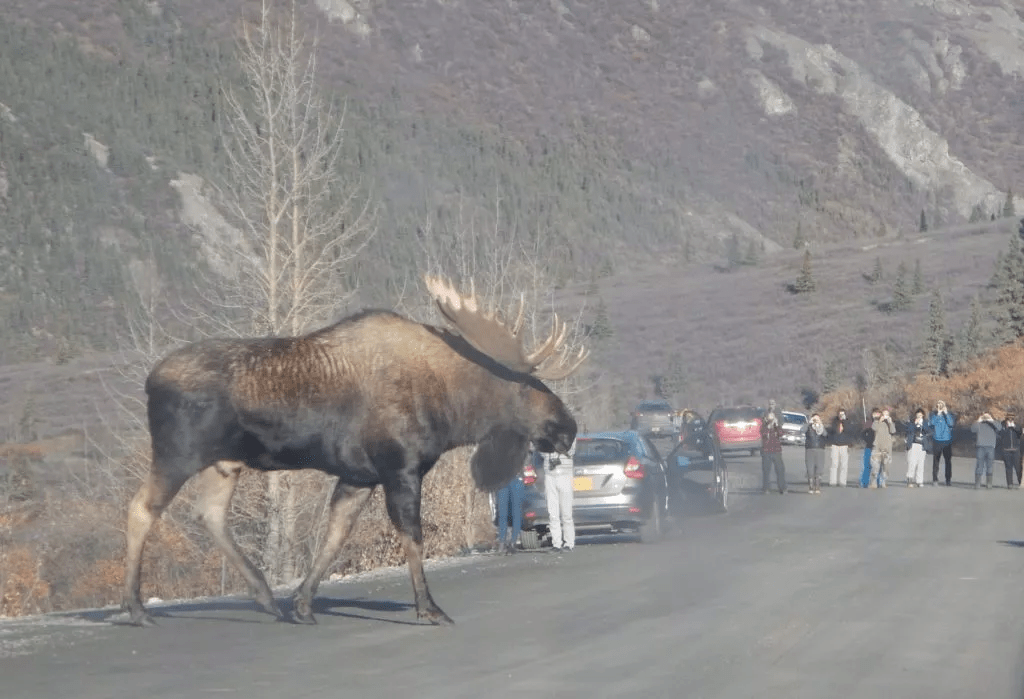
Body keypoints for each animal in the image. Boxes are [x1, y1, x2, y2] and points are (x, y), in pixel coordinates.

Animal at [123, 278, 589, 630]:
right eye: (526, 386)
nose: (568, 428)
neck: (451, 409)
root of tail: (149, 380)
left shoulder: (359, 476)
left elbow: (334, 536)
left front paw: (303, 604)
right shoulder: (400, 469)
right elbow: (412, 538)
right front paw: (429, 608)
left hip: (224, 463)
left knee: (211, 514)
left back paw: (266, 597)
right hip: (178, 453)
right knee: (141, 508)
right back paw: (136, 608)